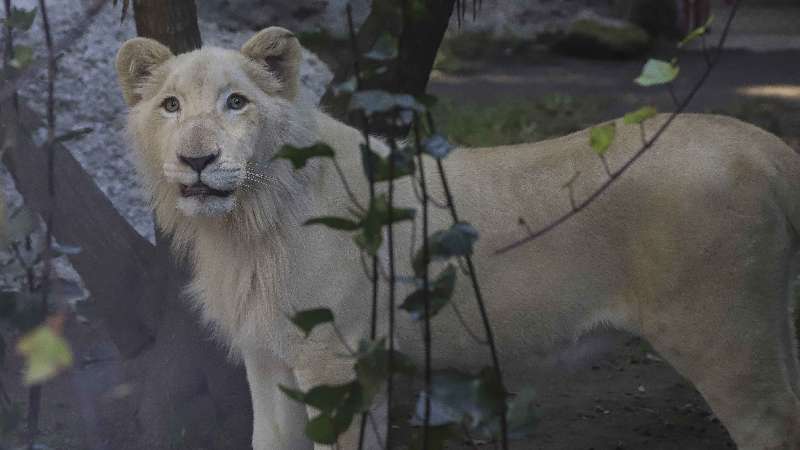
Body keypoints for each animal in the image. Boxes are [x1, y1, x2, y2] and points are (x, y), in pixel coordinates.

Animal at [115, 28, 800, 450]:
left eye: (236, 103)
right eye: (171, 106)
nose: (197, 160)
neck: (244, 226)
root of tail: (763, 143)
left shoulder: (337, 361)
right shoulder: (270, 359)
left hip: (723, 338)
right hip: (768, 330)